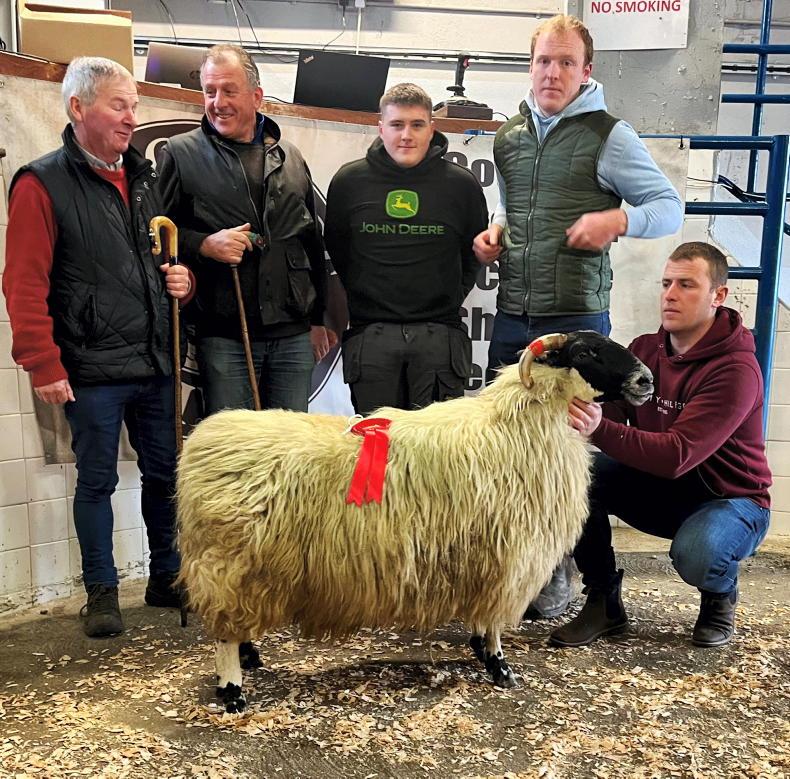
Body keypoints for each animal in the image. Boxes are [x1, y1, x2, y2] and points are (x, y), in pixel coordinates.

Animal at [176, 331, 653, 712]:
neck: (517, 425)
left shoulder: (481, 557)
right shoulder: (505, 555)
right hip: (231, 563)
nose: (645, 380)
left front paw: (480, 650)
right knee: (223, 636)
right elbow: (494, 621)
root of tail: (199, 442)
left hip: (241, 571)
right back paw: (233, 691)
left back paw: (250, 656)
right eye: (586, 351)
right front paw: (499, 667)